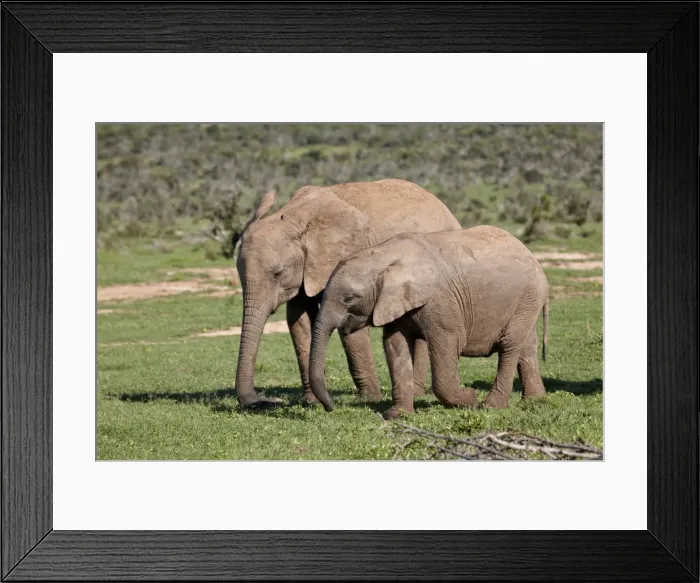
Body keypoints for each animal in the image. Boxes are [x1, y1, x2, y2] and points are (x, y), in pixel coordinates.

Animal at [234, 179, 461, 409]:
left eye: (278, 273)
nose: (263, 401)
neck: (293, 218)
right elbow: (298, 319)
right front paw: (311, 401)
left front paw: (368, 399)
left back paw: (416, 392)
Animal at [308, 225, 550, 419]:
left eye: (349, 298)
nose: (330, 407)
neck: (382, 256)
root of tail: (533, 257)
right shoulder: (394, 303)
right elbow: (395, 346)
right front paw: (398, 416)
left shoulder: (440, 300)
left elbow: (448, 343)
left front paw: (469, 398)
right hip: (526, 302)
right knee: (527, 345)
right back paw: (535, 401)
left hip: (528, 295)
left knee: (509, 345)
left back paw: (490, 406)